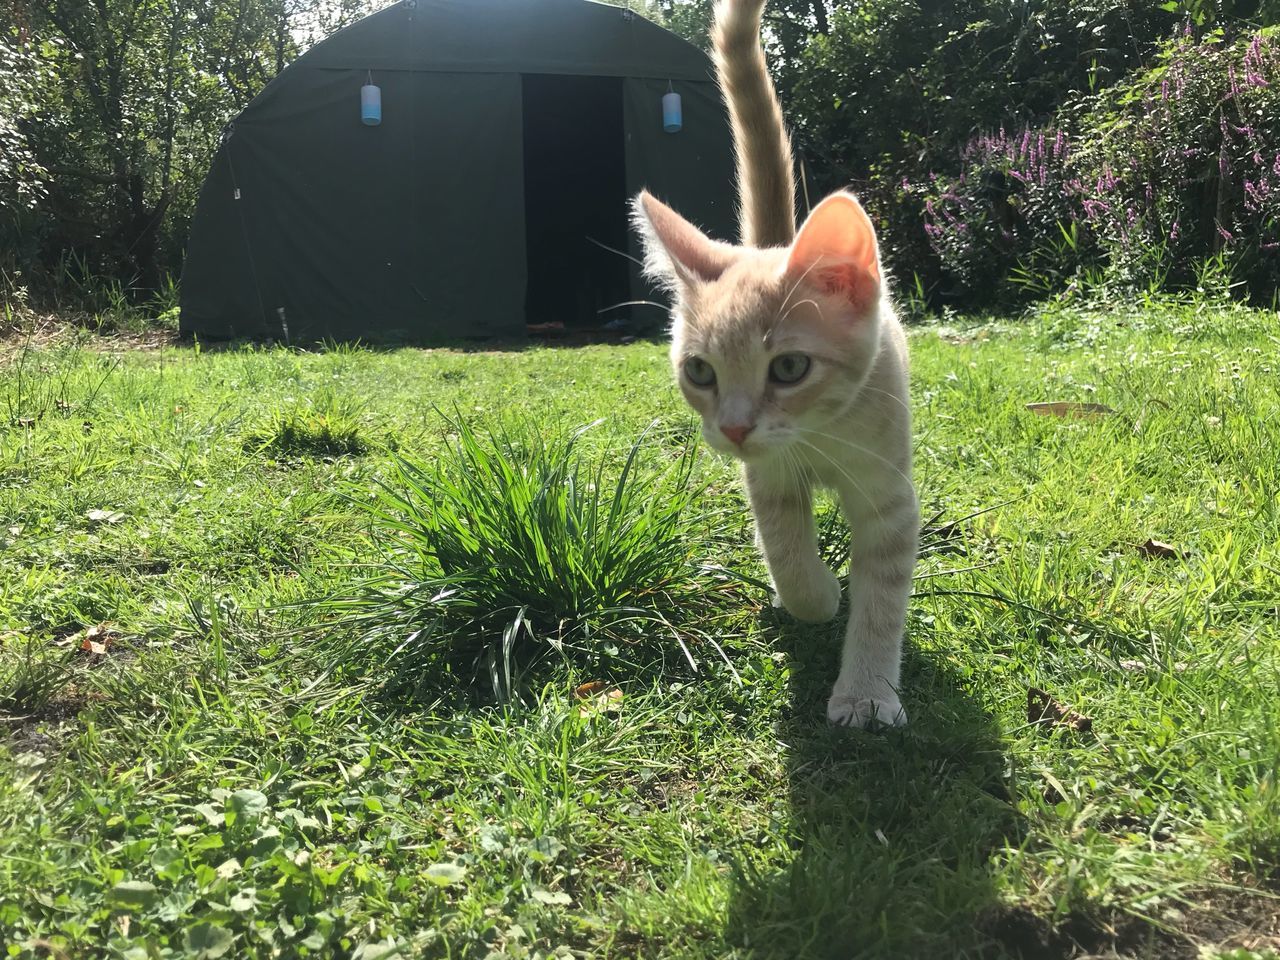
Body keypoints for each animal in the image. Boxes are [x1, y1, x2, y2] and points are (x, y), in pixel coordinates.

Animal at [627, 0, 911, 727]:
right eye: (700, 373)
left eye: (788, 369)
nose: (732, 428)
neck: (821, 434)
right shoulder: (767, 477)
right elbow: (785, 548)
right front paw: (814, 596)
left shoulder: (890, 493)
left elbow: (883, 593)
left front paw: (866, 691)